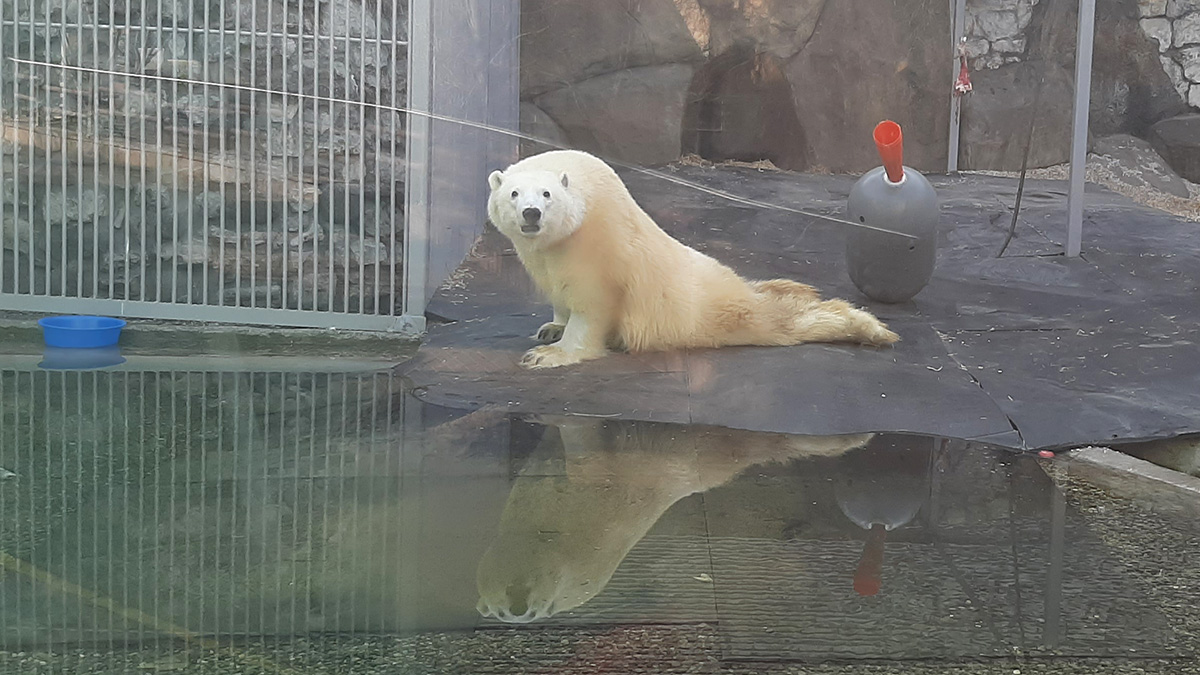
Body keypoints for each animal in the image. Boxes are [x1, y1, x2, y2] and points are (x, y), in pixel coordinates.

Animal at [487, 149, 902, 367]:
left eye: (546, 194)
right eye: (513, 193)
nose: (530, 214)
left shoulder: (597, 245)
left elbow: (593, 306)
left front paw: (547, 354)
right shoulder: (540, 255)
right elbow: (559, 293)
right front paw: (551, 327)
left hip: (709, 308)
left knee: (775, 319)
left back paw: (871, 329)